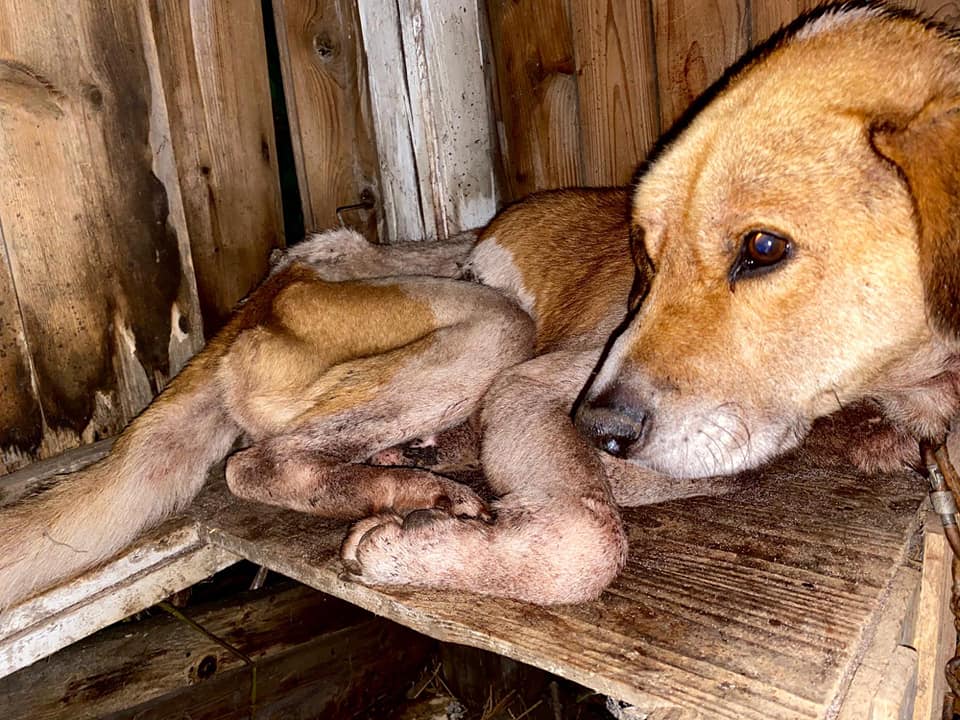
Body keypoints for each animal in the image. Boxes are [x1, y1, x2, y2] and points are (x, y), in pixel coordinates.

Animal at [0, 1, 956, 608]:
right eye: (644, 254)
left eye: (762, 249)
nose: (604, 430)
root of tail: (258, 293)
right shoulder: (541, 391)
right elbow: (587, 540)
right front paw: (412, 550)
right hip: (490, 330)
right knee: (255, 462)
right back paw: (400, 492)